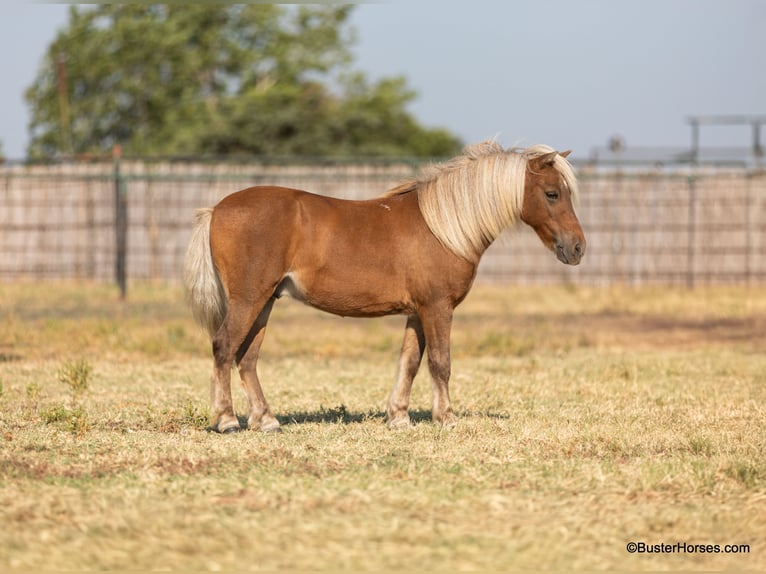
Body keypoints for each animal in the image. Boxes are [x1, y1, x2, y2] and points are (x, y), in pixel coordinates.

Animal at [184, 142, 588, 434]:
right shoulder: (437, 308)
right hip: (249, 299)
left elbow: (409, 362)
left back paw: (266, 420)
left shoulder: (417, 312)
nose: (577, 248)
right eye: (552, 193)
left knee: (247, 357)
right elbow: (440, 363)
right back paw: (227, 420)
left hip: (266, 300)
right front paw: (447, 417)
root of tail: (216, 210)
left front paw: (399, 417)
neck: (443, 227)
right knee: (224, 347)